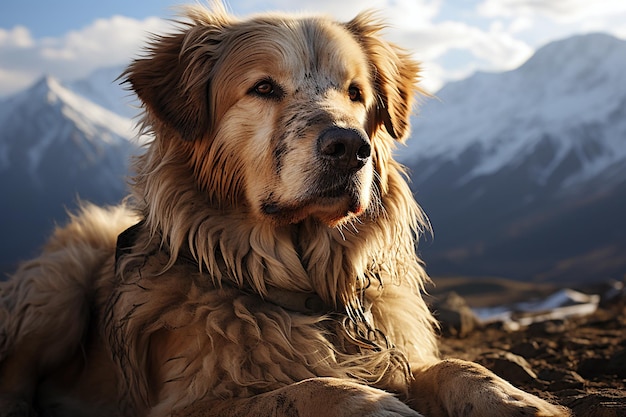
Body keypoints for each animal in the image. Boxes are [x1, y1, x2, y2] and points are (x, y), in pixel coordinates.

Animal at [0, 3, 568, 416]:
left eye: (356, 93)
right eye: (264, 88)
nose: (350, 147)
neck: (301, 290)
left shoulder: (398, 352)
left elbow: (459, 367)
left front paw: (517, 400)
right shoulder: (180, 406)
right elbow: (295, 391)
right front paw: (366, 405)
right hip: (58, 282)